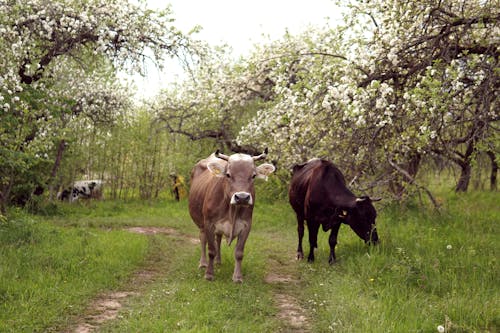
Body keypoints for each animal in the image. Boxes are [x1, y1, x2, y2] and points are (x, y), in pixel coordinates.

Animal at [188, 149, 276, 282]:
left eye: (253, 175)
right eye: (228, 175)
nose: (242, 197)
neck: (232, 211)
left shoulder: (246, 225)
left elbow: (239, 253)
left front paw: (237, 277)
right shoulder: (209, 223)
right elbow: (211, 250)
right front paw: (209, 274)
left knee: (218, 239)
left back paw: (218, 261)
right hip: (201, 223)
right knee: (203, 239)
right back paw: (203, 263)